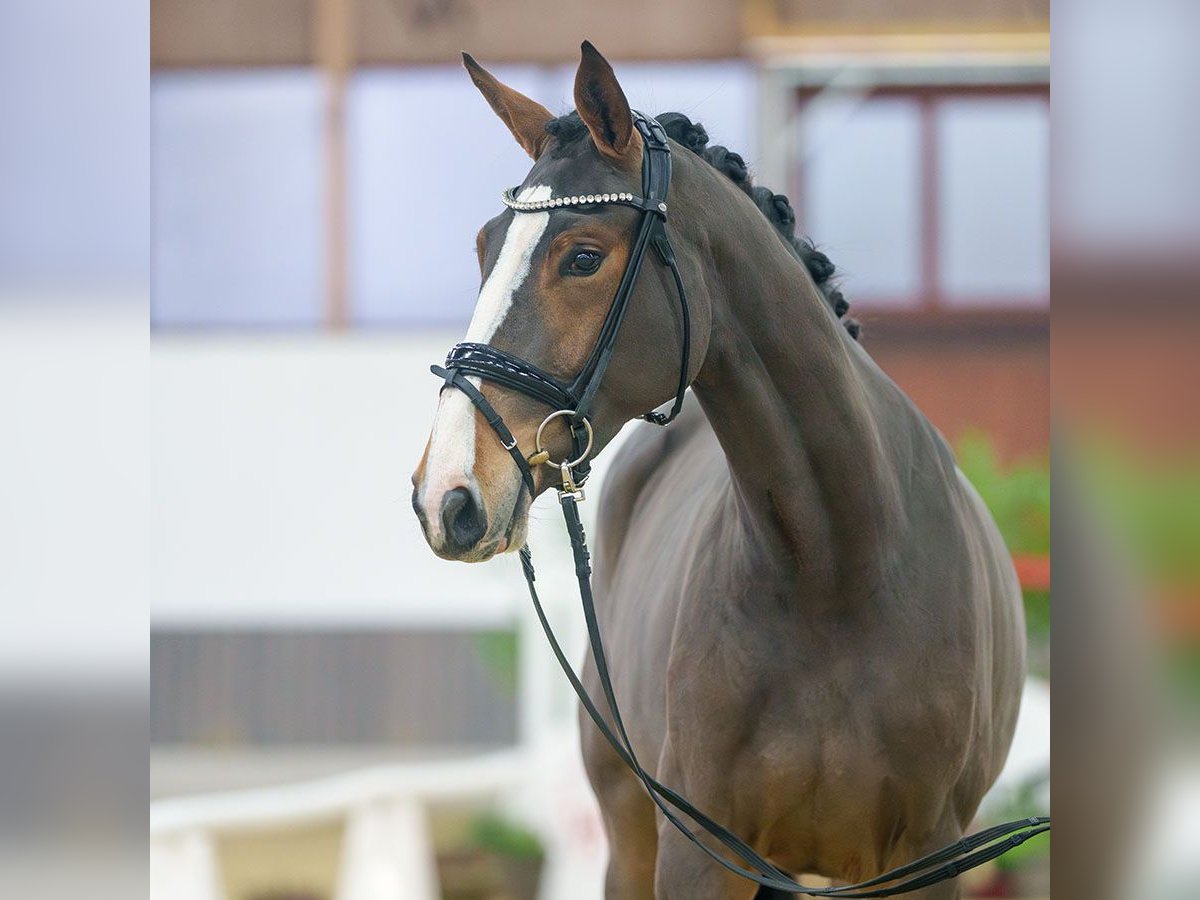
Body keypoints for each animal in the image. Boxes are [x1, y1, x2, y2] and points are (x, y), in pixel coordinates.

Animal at [412, 38, 1022, 897]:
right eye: (483, 249)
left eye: (584, 257)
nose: (448, 495)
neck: (838, 569)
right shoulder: (698, 851)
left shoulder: (927, 860)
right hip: (629, 830)